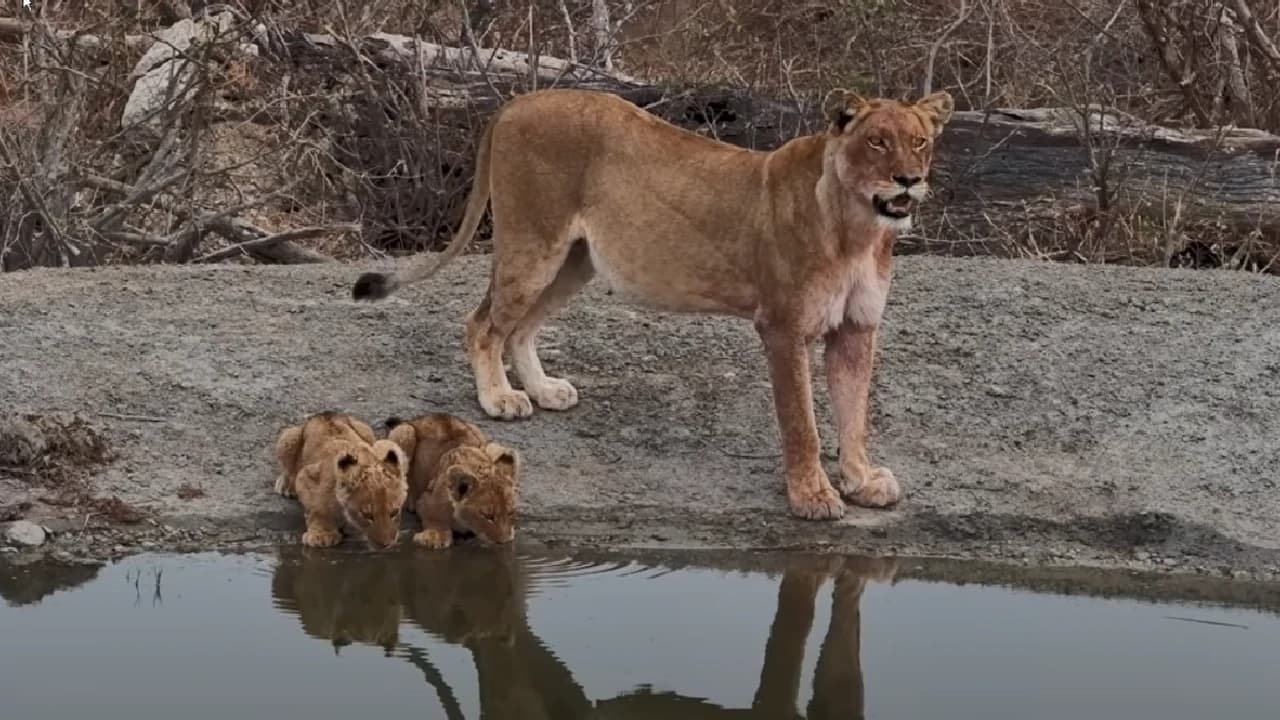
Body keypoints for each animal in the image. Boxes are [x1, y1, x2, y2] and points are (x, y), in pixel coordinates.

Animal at [350, 87, 952, 517]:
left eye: (919, 141)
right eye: (877, 142)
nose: (908, 180)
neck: (859, 231)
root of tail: (517, 101)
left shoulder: (857, 329)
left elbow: (854, 413)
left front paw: (862, 480)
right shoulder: (781, 326)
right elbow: (801, 420)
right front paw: (813, 496)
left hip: (574, 260)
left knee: (520, 328)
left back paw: (544, 391)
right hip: (533, 242)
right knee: (483, 323)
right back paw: (500, 399)